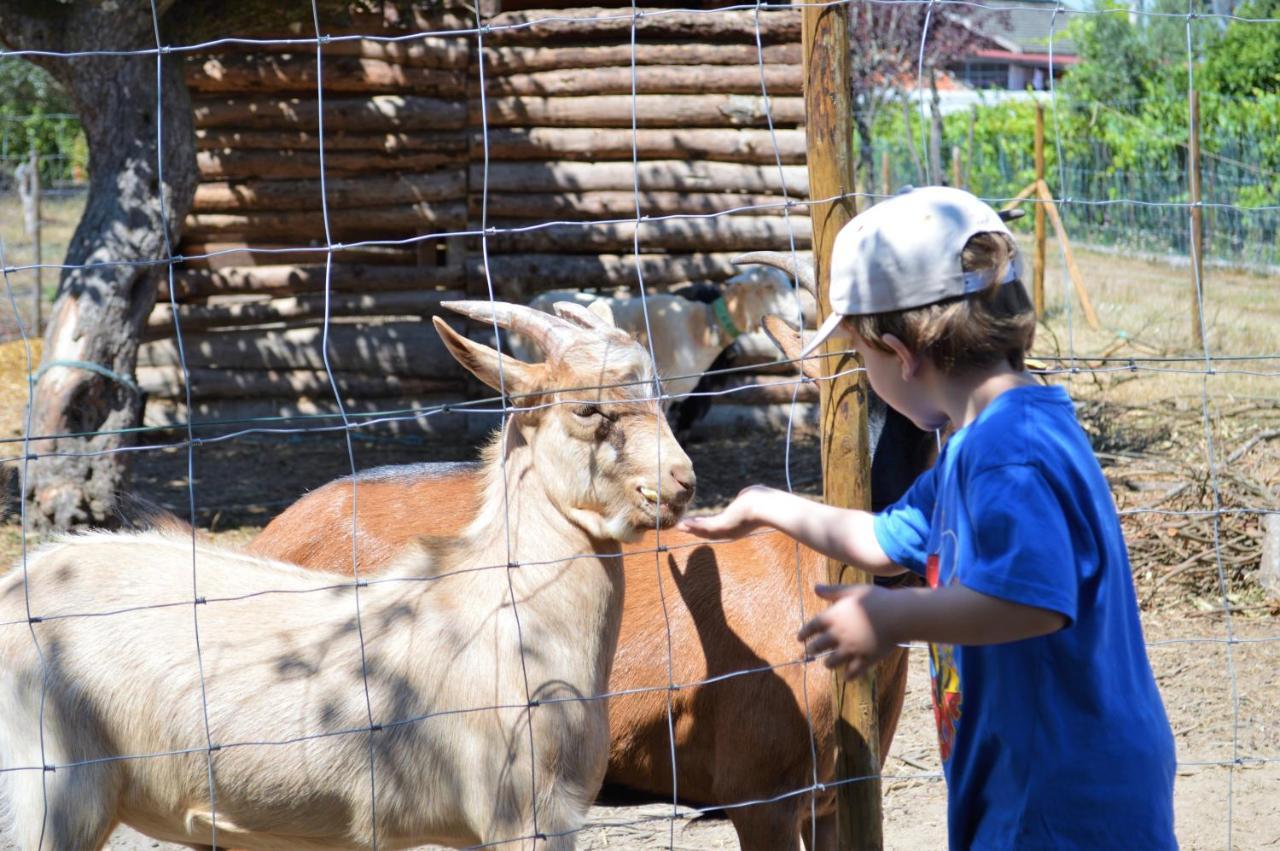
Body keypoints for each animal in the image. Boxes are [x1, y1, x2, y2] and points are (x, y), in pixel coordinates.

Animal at [0, 298, 696, 849]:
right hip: (58, 788)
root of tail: (21, 583)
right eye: (587, 409)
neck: (507, 609)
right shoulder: (521, 815)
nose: (679, 484)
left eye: (661, 398)